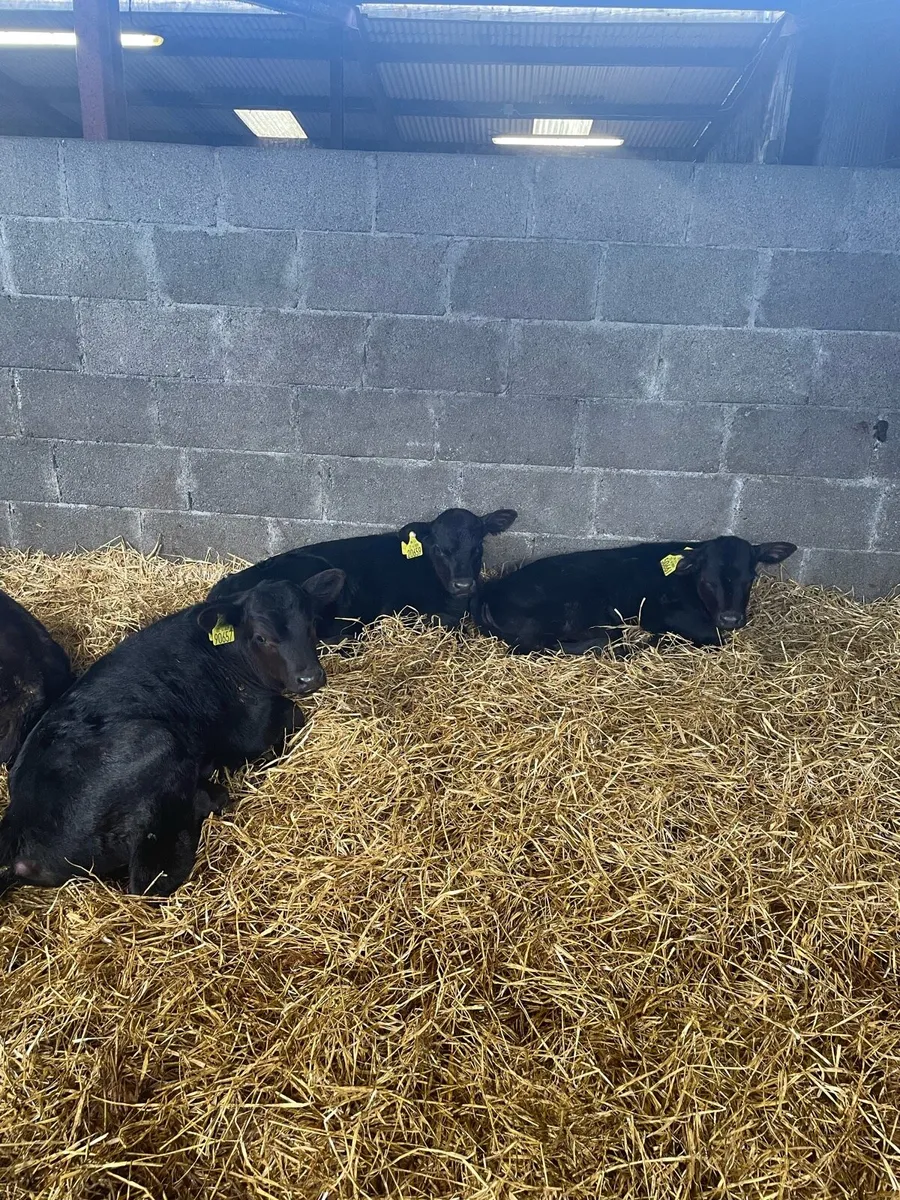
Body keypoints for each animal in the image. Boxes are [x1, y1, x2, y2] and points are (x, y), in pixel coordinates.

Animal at [473, 536, 797, 653]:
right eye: (707, 580)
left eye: (750, 577)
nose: (731, 618)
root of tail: (491, 591)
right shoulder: (658, 612)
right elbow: (714, 639)